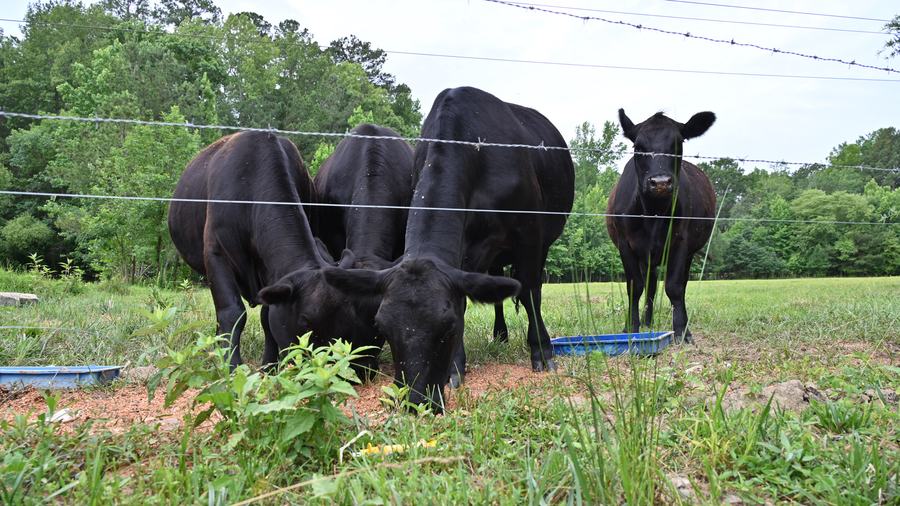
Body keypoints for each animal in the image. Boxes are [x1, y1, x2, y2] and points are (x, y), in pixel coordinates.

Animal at [167, 131, 376, 370]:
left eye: (347, 319)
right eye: (305, 321)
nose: (321, 365)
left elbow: (267, 316)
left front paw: (269, 365)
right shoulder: (216, 254)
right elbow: (232, 312)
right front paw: (232, 365)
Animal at [324, 87, 575, 412]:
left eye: (448, 328)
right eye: (383, 327)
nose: (416, 400)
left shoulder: (529, 233)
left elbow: (530, 292)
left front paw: (542, 352)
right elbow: (467, 299)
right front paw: (456, 368)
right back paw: (500, 335)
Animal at [606, 109, 717, 343]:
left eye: (678, 144)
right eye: (638, 147)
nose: (660, 182)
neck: (653, 213)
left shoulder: (681, 242)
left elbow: (674, 287)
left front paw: (682, 331)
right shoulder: (625, 244)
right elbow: (635, 286)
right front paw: (631, 327)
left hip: (685, 253)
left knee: (677, 285)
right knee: (650, 284)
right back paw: (647, 321)